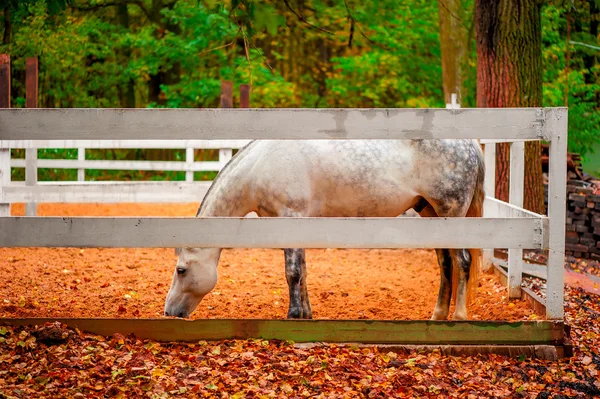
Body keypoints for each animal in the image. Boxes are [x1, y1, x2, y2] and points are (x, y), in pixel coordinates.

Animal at [166, 141, 486, 322]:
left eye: (181, 270)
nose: (168, 312)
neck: (260, 166)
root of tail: (470, 145)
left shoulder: (290, 218)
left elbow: (293, 272)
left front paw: (294, 316)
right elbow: (303, 271)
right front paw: (306, 315)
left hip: (451, 213)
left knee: (462, 261)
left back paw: (459, 316)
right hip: (432, 214)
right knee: (445, 264)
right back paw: (438, 315)